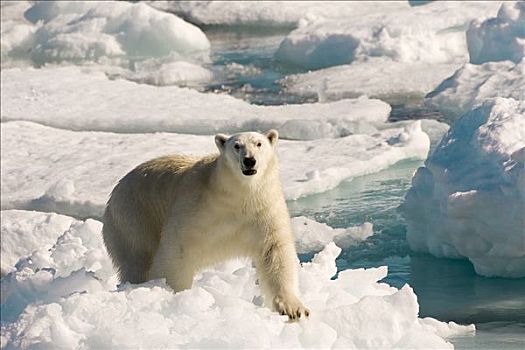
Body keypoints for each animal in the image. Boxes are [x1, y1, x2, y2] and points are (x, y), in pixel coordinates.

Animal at [101, 129, 310, 320]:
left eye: (258, 144)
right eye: (236, 146)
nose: (249, 160)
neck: (239, 195)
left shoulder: (264, 208)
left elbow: (274, 252)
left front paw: (293, 309)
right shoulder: (197, 205)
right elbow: (176, 249)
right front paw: (171, 293)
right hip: (134, 216)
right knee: (136, 259)